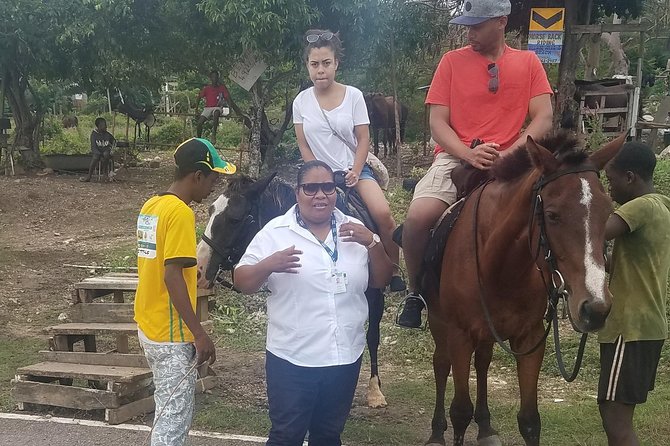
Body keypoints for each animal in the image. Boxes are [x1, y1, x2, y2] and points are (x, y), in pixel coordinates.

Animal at [426, 133, 632, 446]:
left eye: (608, 212)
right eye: (552, 215)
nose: (595, 308)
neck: (501, 267)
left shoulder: (530, 339)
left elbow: (530, 421)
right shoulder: (460, 335)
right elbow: (460, 411)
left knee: (483, 362)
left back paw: (485, 427)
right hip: (440, 324)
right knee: (441, 363)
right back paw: (437, 432)